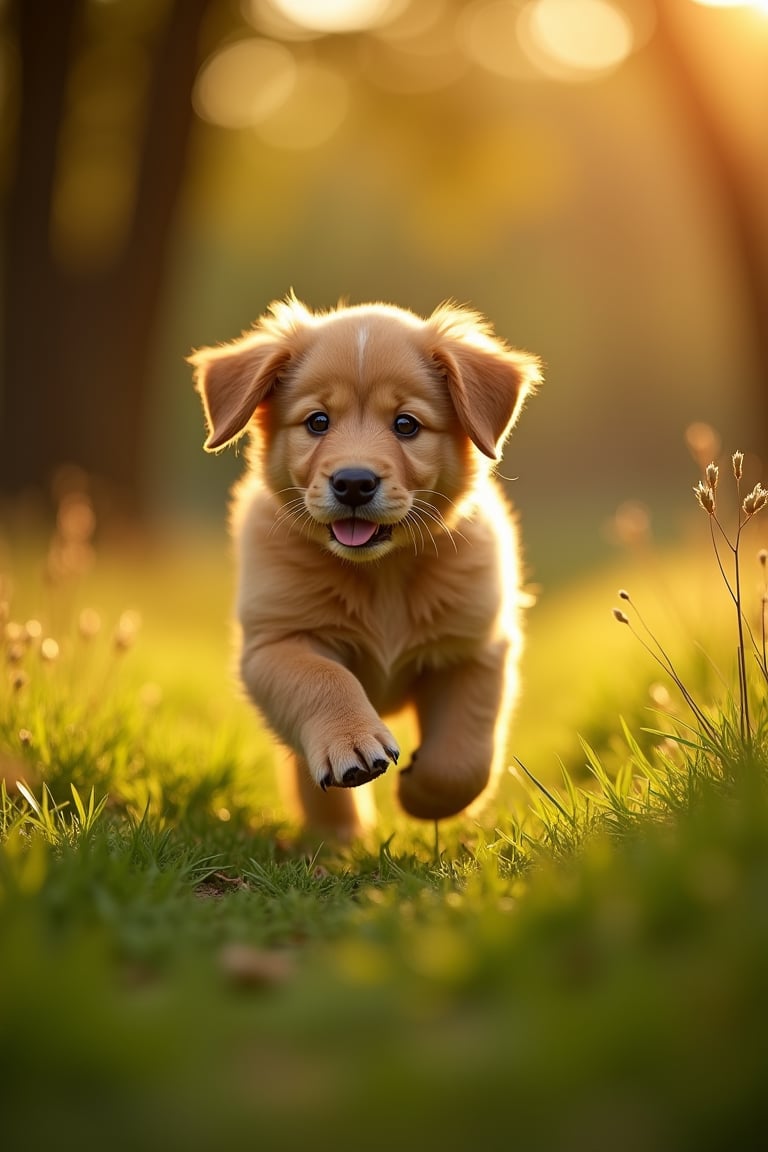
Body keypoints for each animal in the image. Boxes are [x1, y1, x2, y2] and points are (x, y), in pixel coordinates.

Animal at [191, 297, 541, 838]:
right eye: (317, 422)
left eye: (406, 425)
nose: (354, 483)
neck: (383, 573)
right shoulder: (276, 641)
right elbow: (324, 679)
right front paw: (353, 745)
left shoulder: (474, 647)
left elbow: (464, 757)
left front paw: (424, 795)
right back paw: (336, 837)